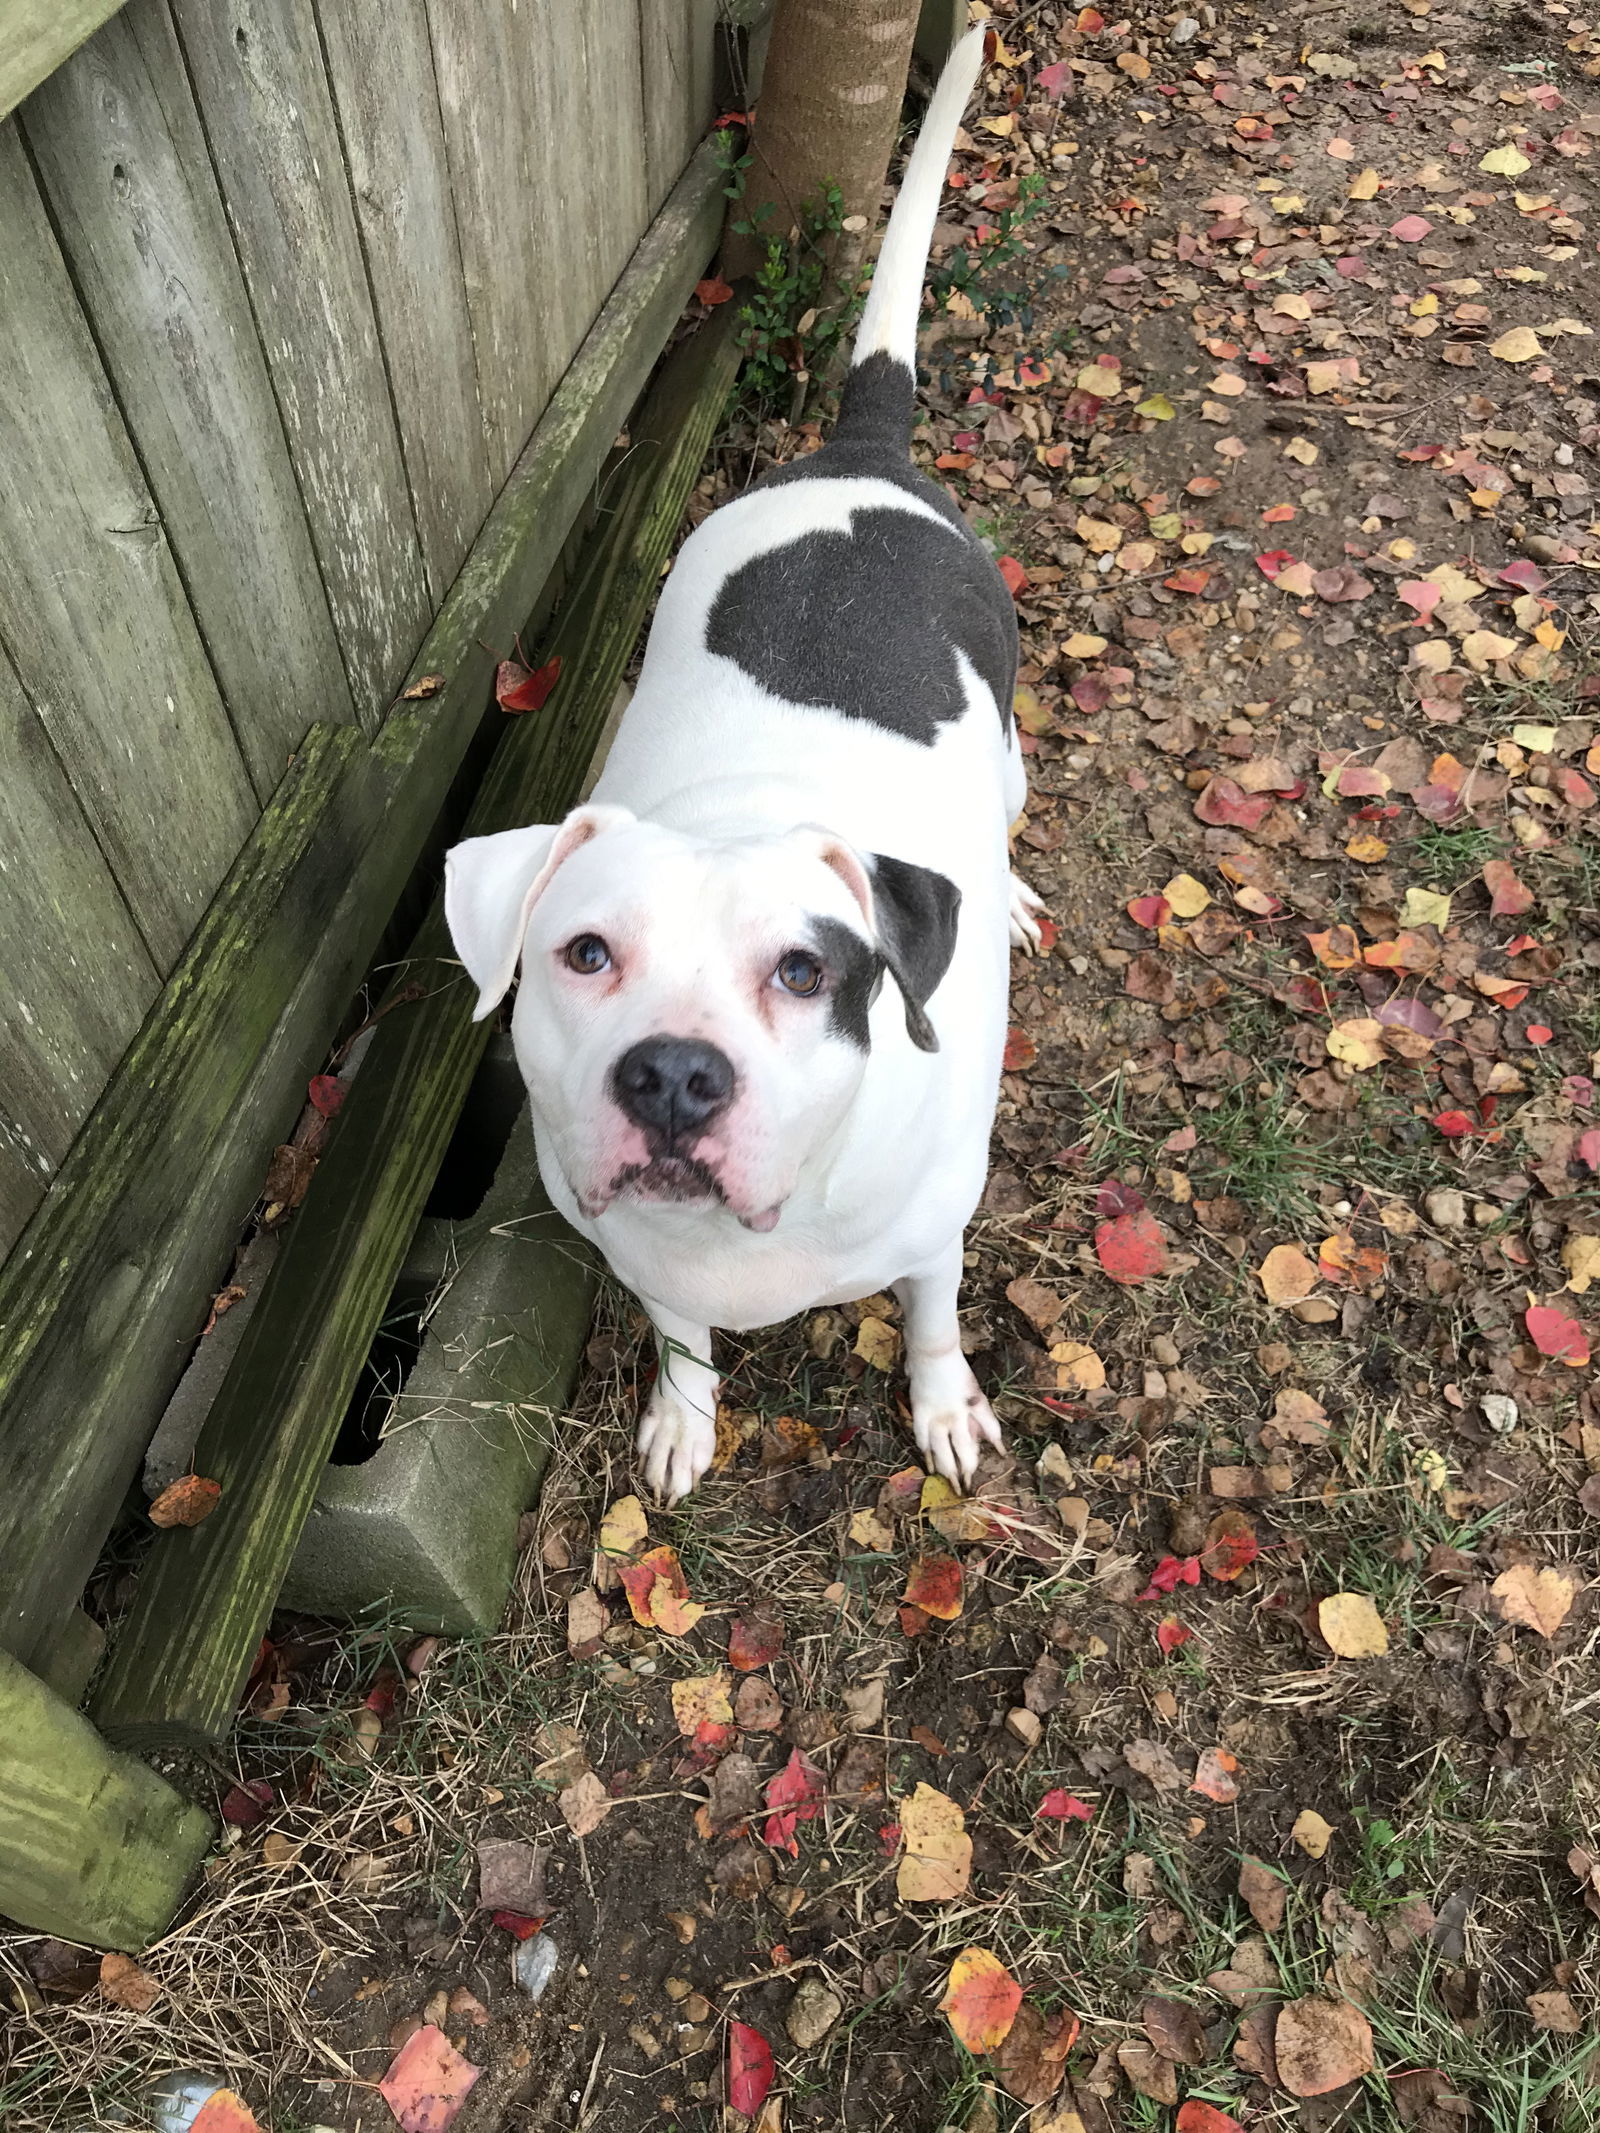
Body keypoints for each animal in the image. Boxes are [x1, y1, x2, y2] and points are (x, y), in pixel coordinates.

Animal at [445, 29, 1041, 1501]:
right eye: (584, 954)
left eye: (804, 973)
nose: (671, 1076)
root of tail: (860, 452)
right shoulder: (640, 1251)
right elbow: (680, 1337)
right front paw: (684, 1413)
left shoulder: (937, 1235)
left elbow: (935, 1318)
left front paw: (943, 1404)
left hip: (1005, 739)